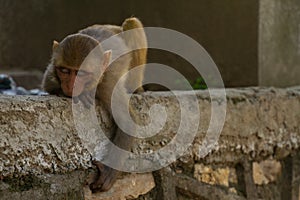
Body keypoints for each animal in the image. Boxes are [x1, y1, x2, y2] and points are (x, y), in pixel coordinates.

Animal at [41, 17, 148, 192]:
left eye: (81, 73)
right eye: (64, 70)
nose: (71, 86)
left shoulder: (108, 84)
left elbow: (127, 121)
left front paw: (108, 174)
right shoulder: (52, 72)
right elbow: (48, 85)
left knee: (131, 22)